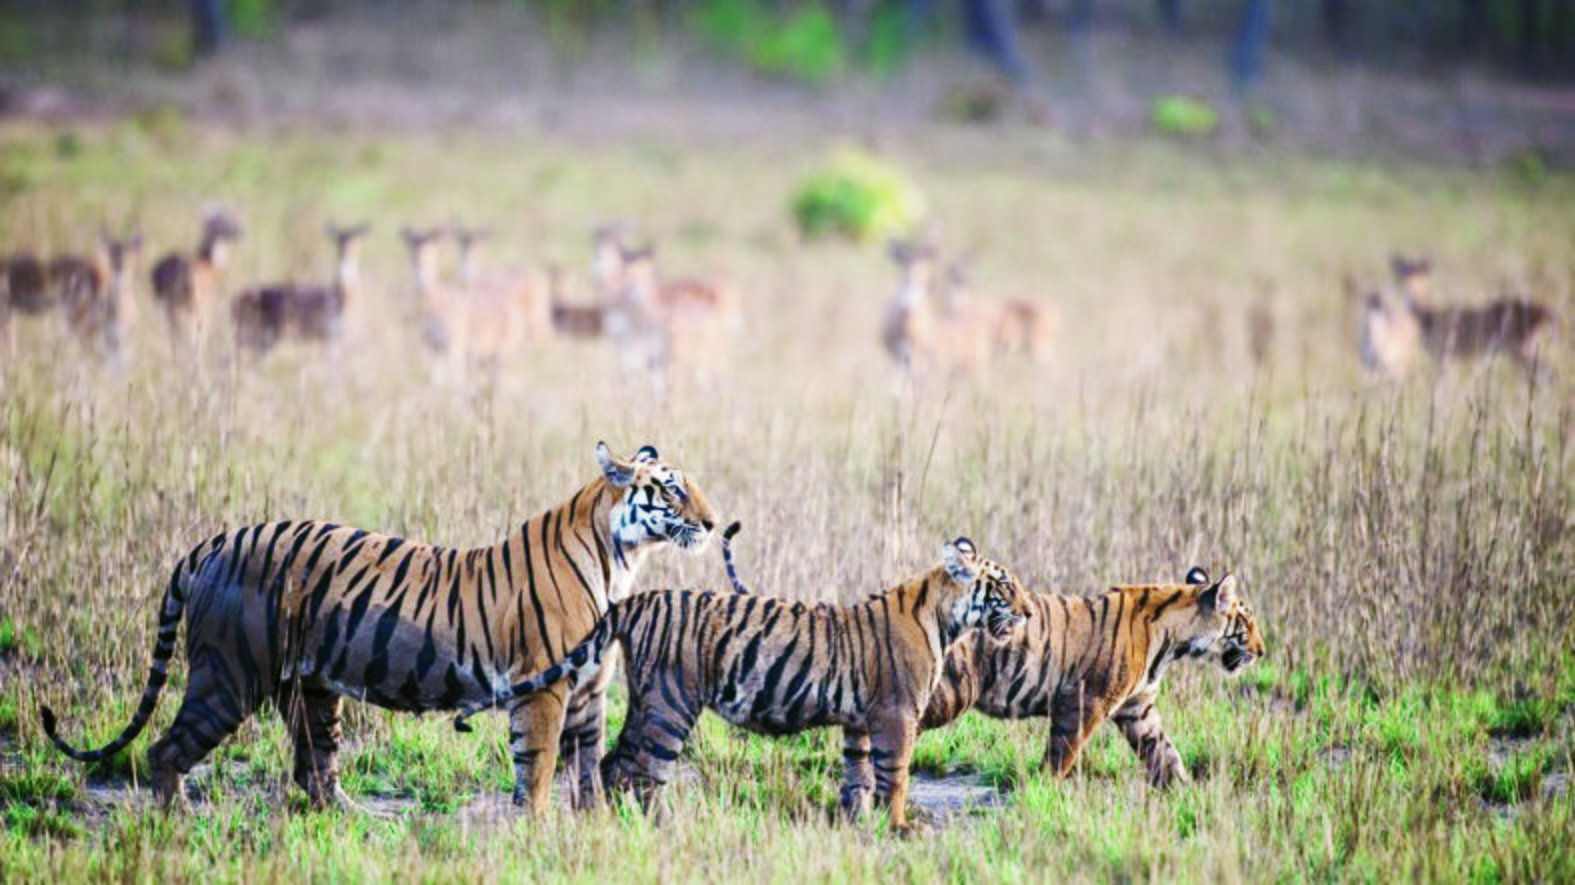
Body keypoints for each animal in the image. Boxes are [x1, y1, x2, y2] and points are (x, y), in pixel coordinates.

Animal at [40, 442, 718, 814]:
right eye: (672, 491)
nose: (714, 524)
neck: (621, 560)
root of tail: (215, 541)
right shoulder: (544, 687)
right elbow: (542, 764)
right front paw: (540, 828)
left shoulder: (590, 689)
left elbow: (588, 764)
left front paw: (592, 827)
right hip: (227, 676)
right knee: (167, 750)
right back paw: (176, 822)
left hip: (310, 690)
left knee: (314, 769)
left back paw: (354, 818)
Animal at [452, 522, 1029, 831]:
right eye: (1005, 586)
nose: (1026, 613)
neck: (946, 617)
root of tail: (637, 597)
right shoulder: (895, 715)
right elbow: (897, 774)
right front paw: (898, 826)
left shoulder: (860, 722)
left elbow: (858, 774)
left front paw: (852, 821)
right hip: (670, 704)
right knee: (642, 769)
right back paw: (661, 827)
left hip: (648, 699)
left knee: (616, 763)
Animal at [918, 566, 1264, 788]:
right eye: (1247, 622)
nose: (1262, 651)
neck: (1174, 643)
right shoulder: (1087, 700)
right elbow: (1061, 754)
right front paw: (1042, 793)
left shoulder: (1138, 708)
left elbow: (1165, 752)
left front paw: (1186, 792)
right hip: (950, 693)